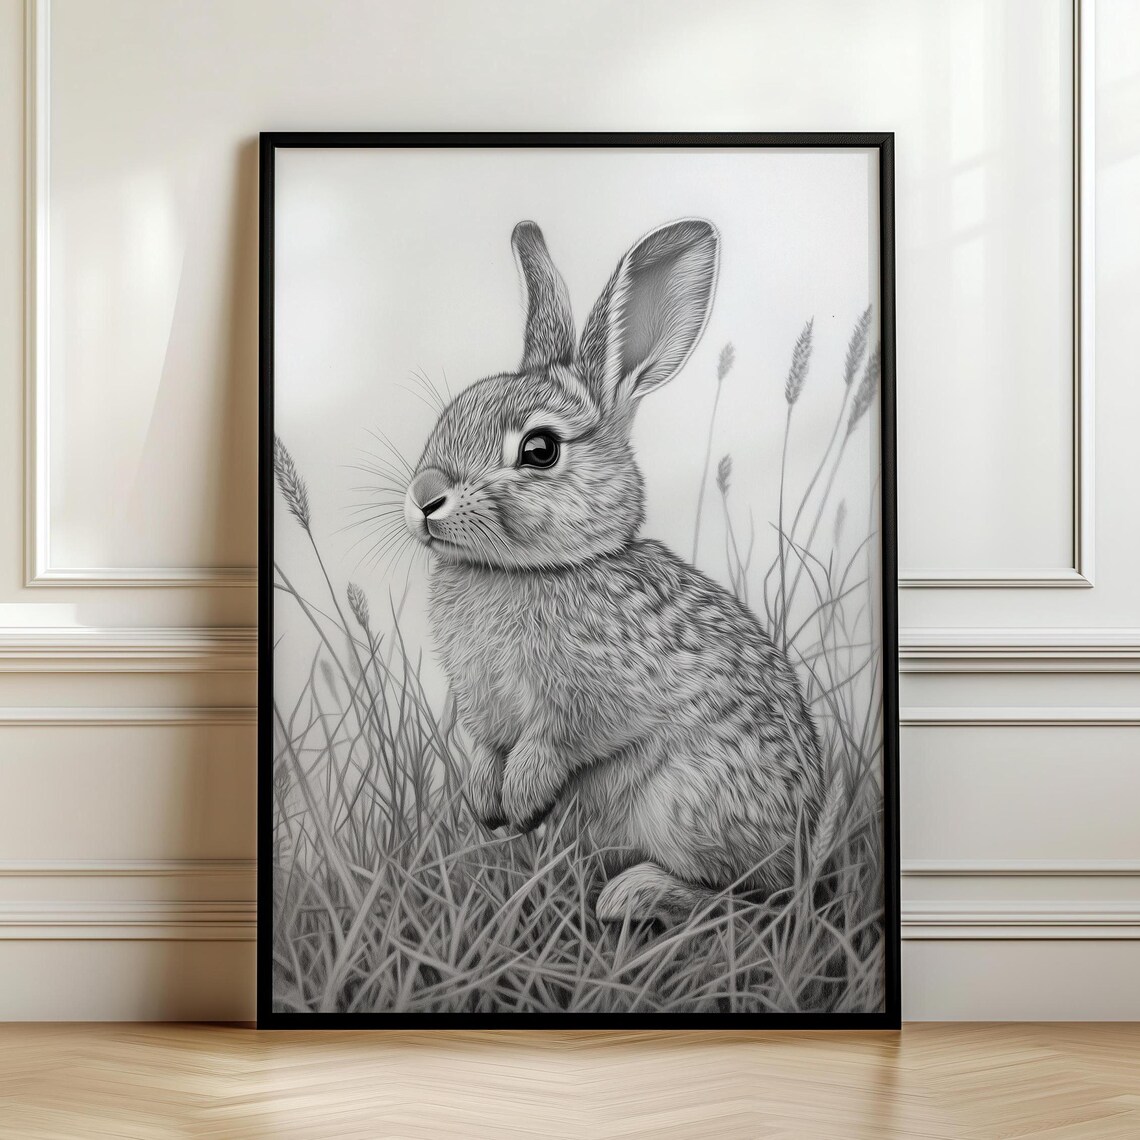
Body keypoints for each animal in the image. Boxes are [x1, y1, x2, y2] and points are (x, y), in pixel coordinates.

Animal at [402, 218, 824, 922]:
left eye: (540, 449)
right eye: (446, 419)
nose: (425, 495)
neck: (525, 571)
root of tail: (805, 840)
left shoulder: (589, 700)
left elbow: (555, 743)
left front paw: (522, 800)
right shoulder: (480, 709)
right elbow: (484, 750)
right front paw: (487, 805)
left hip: (689, 801)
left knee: (746, 896)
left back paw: (631, 895)